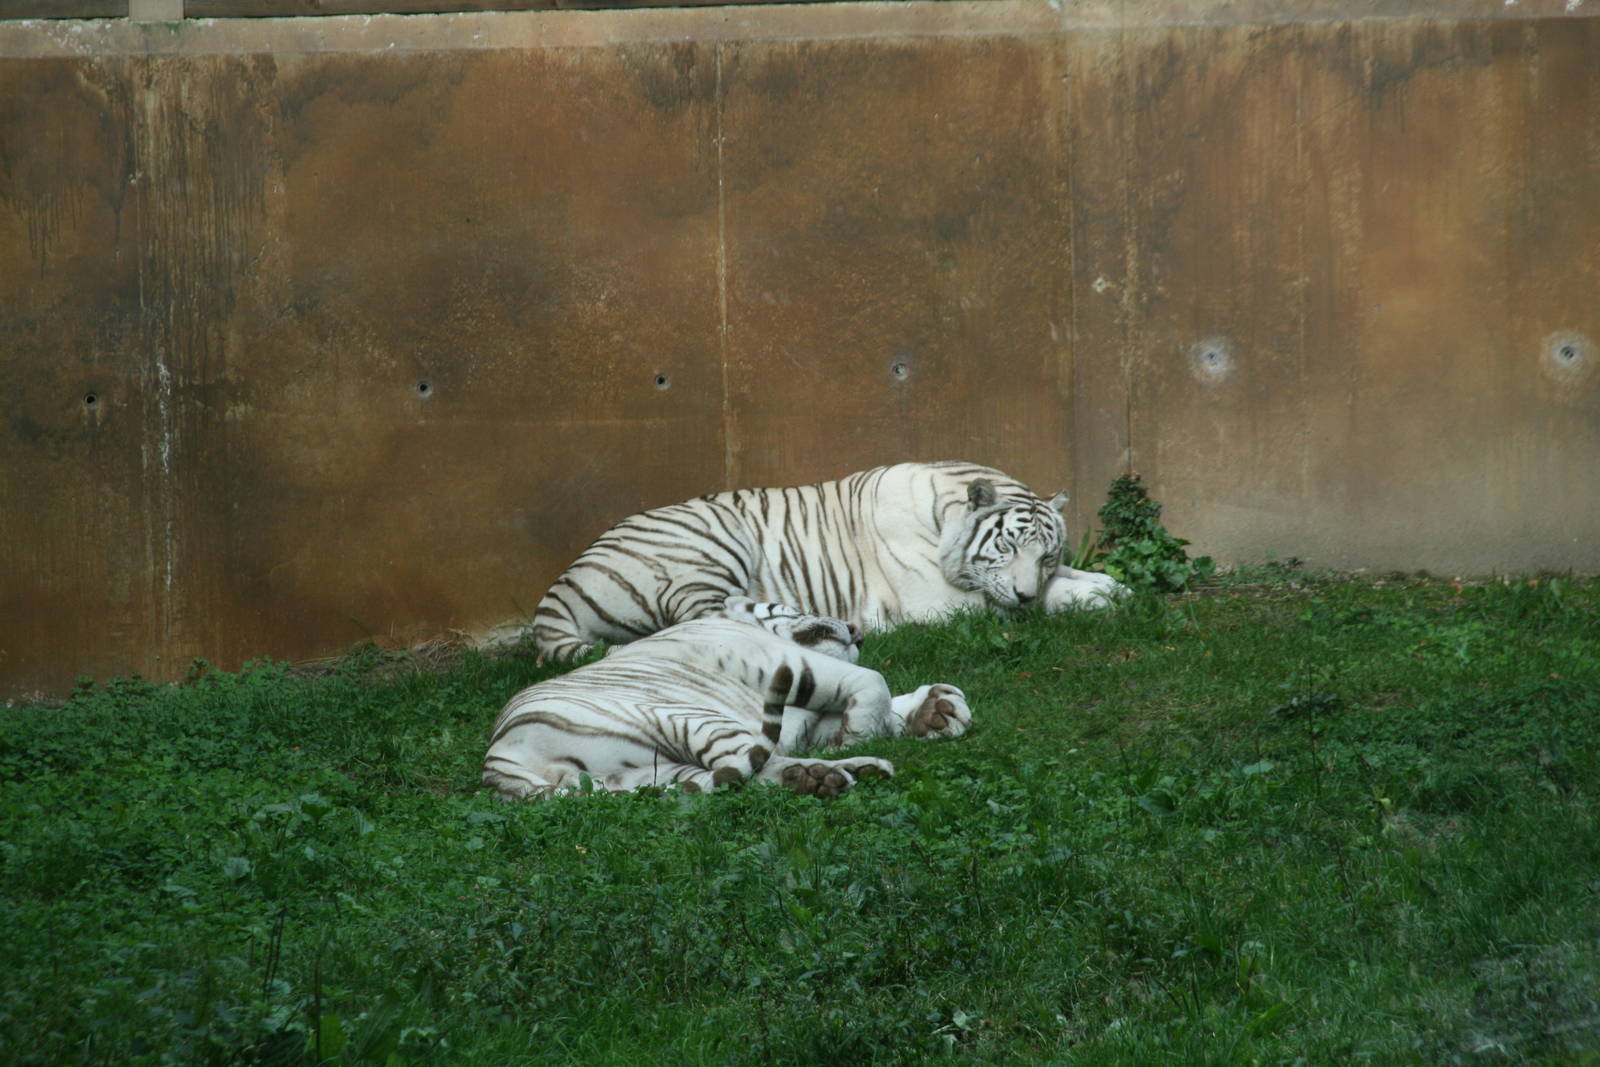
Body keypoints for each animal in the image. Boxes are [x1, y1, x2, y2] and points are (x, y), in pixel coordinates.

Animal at [482, 597, 972, 800]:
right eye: (797, 604)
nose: (857, 632)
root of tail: (499, 768)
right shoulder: (782, 659)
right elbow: (871, 679)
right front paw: (861, 735)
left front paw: (935, 711)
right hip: (684, 716)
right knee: (745, 766)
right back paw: (838, 772)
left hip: (650, 773)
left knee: (737, 773)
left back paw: (826, 776)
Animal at [529, 460, 1127, 663]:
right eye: (1006, 547)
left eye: (1047, 555)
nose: (1025, 592)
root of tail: (559, 589)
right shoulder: (940, 601)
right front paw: (1100, 596)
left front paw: (1107, 584)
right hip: (706, 544)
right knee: (707, 618)